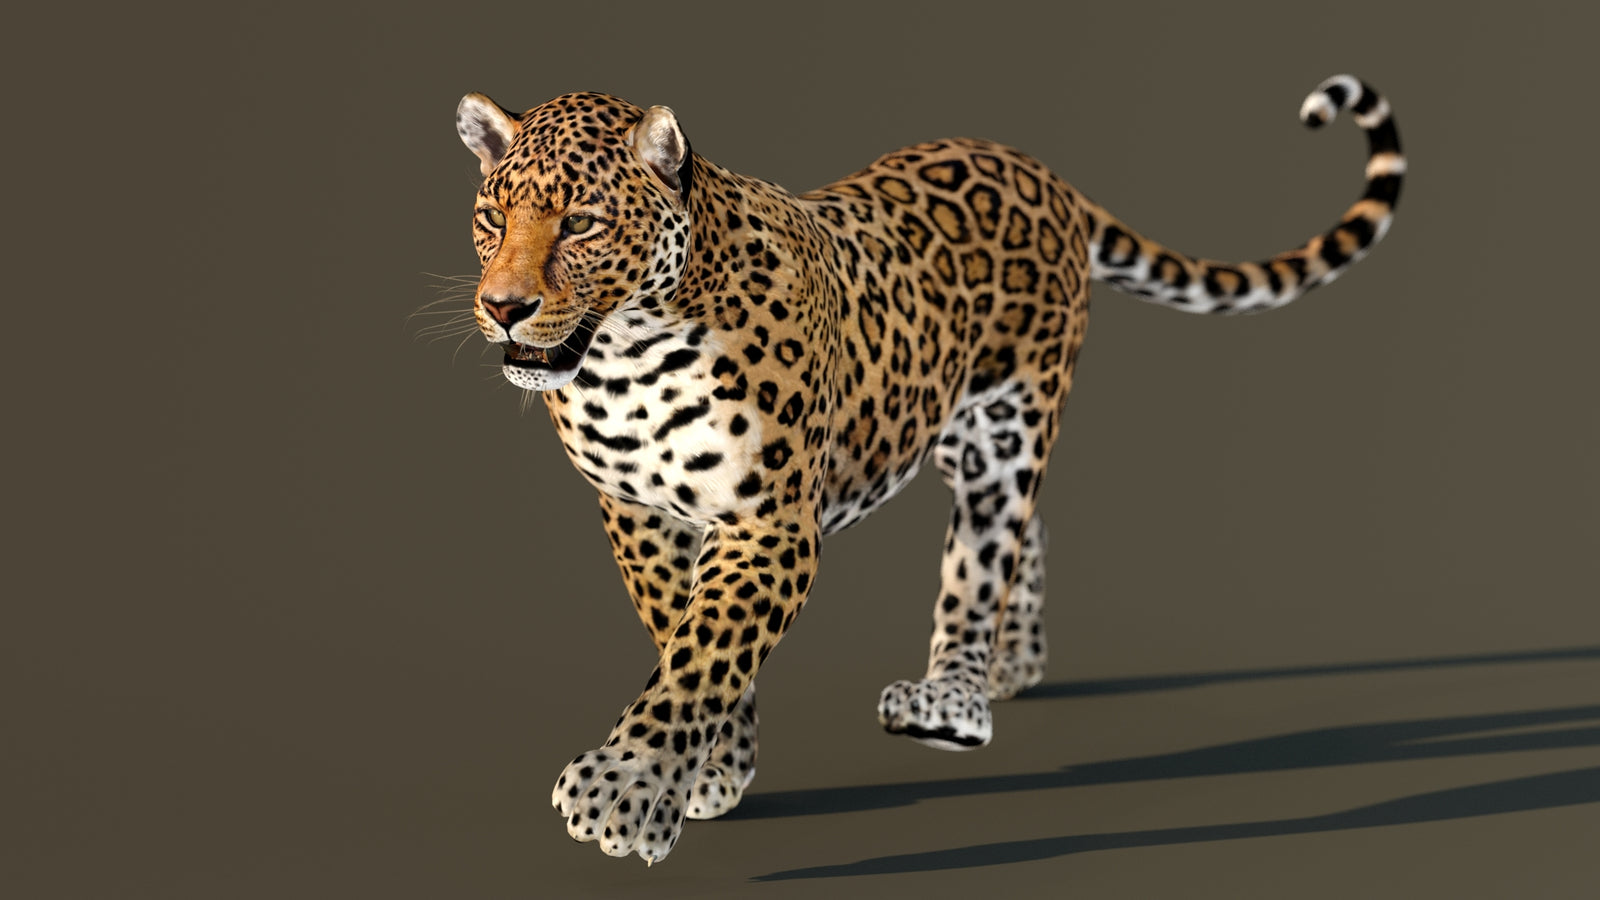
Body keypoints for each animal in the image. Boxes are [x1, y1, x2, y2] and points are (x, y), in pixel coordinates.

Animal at [448, 74, 1403, 864]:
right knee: (1027, 531)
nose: (504, 307)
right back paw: (1015, 666)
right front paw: (717, 770)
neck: (625, 361)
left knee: (984, 552)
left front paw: (629, 791)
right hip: (936, 415)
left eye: (581, 223)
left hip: (1011, 422)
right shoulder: (638, 514)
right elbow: (677, 634)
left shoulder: (770, 524)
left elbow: (704, 650)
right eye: (493, 218)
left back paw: (955, 696)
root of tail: (1036, 167)